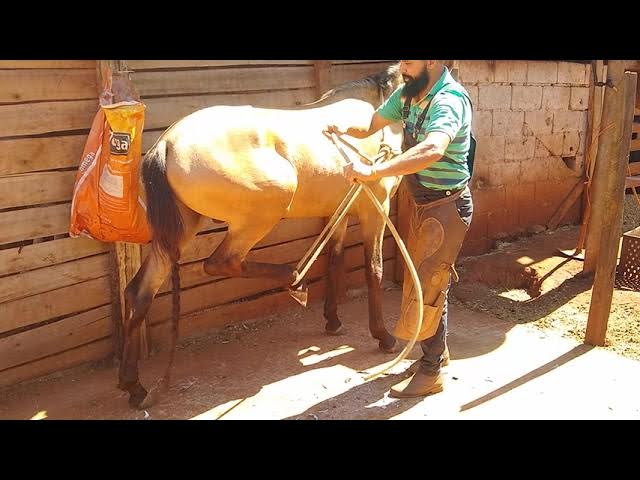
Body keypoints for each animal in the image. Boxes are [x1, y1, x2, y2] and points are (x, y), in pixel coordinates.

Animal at [120, 62, 404, 408]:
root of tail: (167, 144)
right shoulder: (376, 211)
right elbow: (373, 269)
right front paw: (384, 336)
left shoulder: (338, 212)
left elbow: (334, 259)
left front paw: (333, 320)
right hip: (264, 210)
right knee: (222, 262)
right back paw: (293, 278)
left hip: (178, 232)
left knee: (140, 293)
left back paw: (134, 386)